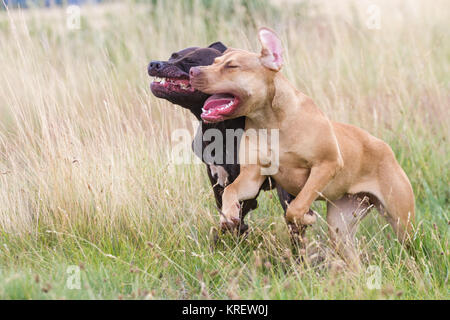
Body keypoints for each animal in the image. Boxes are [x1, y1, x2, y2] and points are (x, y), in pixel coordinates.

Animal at [189, 27, 414, 268]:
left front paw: (307, 216)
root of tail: (385, 148)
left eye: (231, 66)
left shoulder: (326, 165)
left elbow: (295, 208)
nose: (193, 71)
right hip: (341, 228)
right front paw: (229, 213)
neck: (270, 121)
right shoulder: (251, 178)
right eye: (214, 62)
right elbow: (231, 190)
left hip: (402, 223)